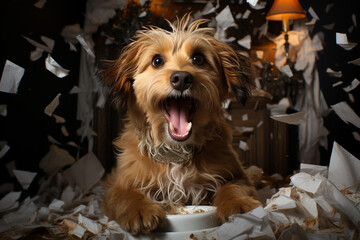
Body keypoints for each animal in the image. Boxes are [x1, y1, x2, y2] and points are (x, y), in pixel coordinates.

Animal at [101, 15, 262, 234]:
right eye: (157, 61)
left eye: (198, 59)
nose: (182, 78)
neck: (176, 152)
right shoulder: (117, 185)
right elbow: (126, 195)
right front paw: (140, 210)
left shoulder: (238, 176)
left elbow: (232, 187)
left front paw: (239, 205)